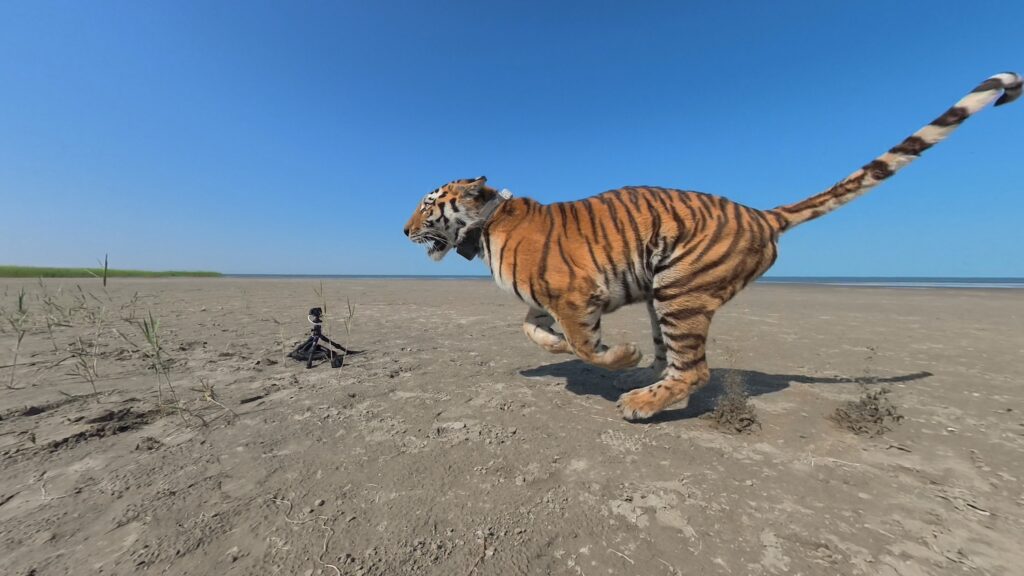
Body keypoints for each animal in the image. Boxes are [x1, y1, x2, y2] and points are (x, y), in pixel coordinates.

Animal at [403, 72, 1021, 421]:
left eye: (428, 204)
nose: (403, 230)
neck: (486, 228)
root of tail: (760, 213)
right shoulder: (546, 301)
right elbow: (535, 331)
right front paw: (559, 349)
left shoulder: (576, 296)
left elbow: (585, 345)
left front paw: (615, 357)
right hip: (664, 294)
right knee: (676, 362)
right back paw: (644, 386)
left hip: (680, 291)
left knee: (695, 369)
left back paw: (638, 400)